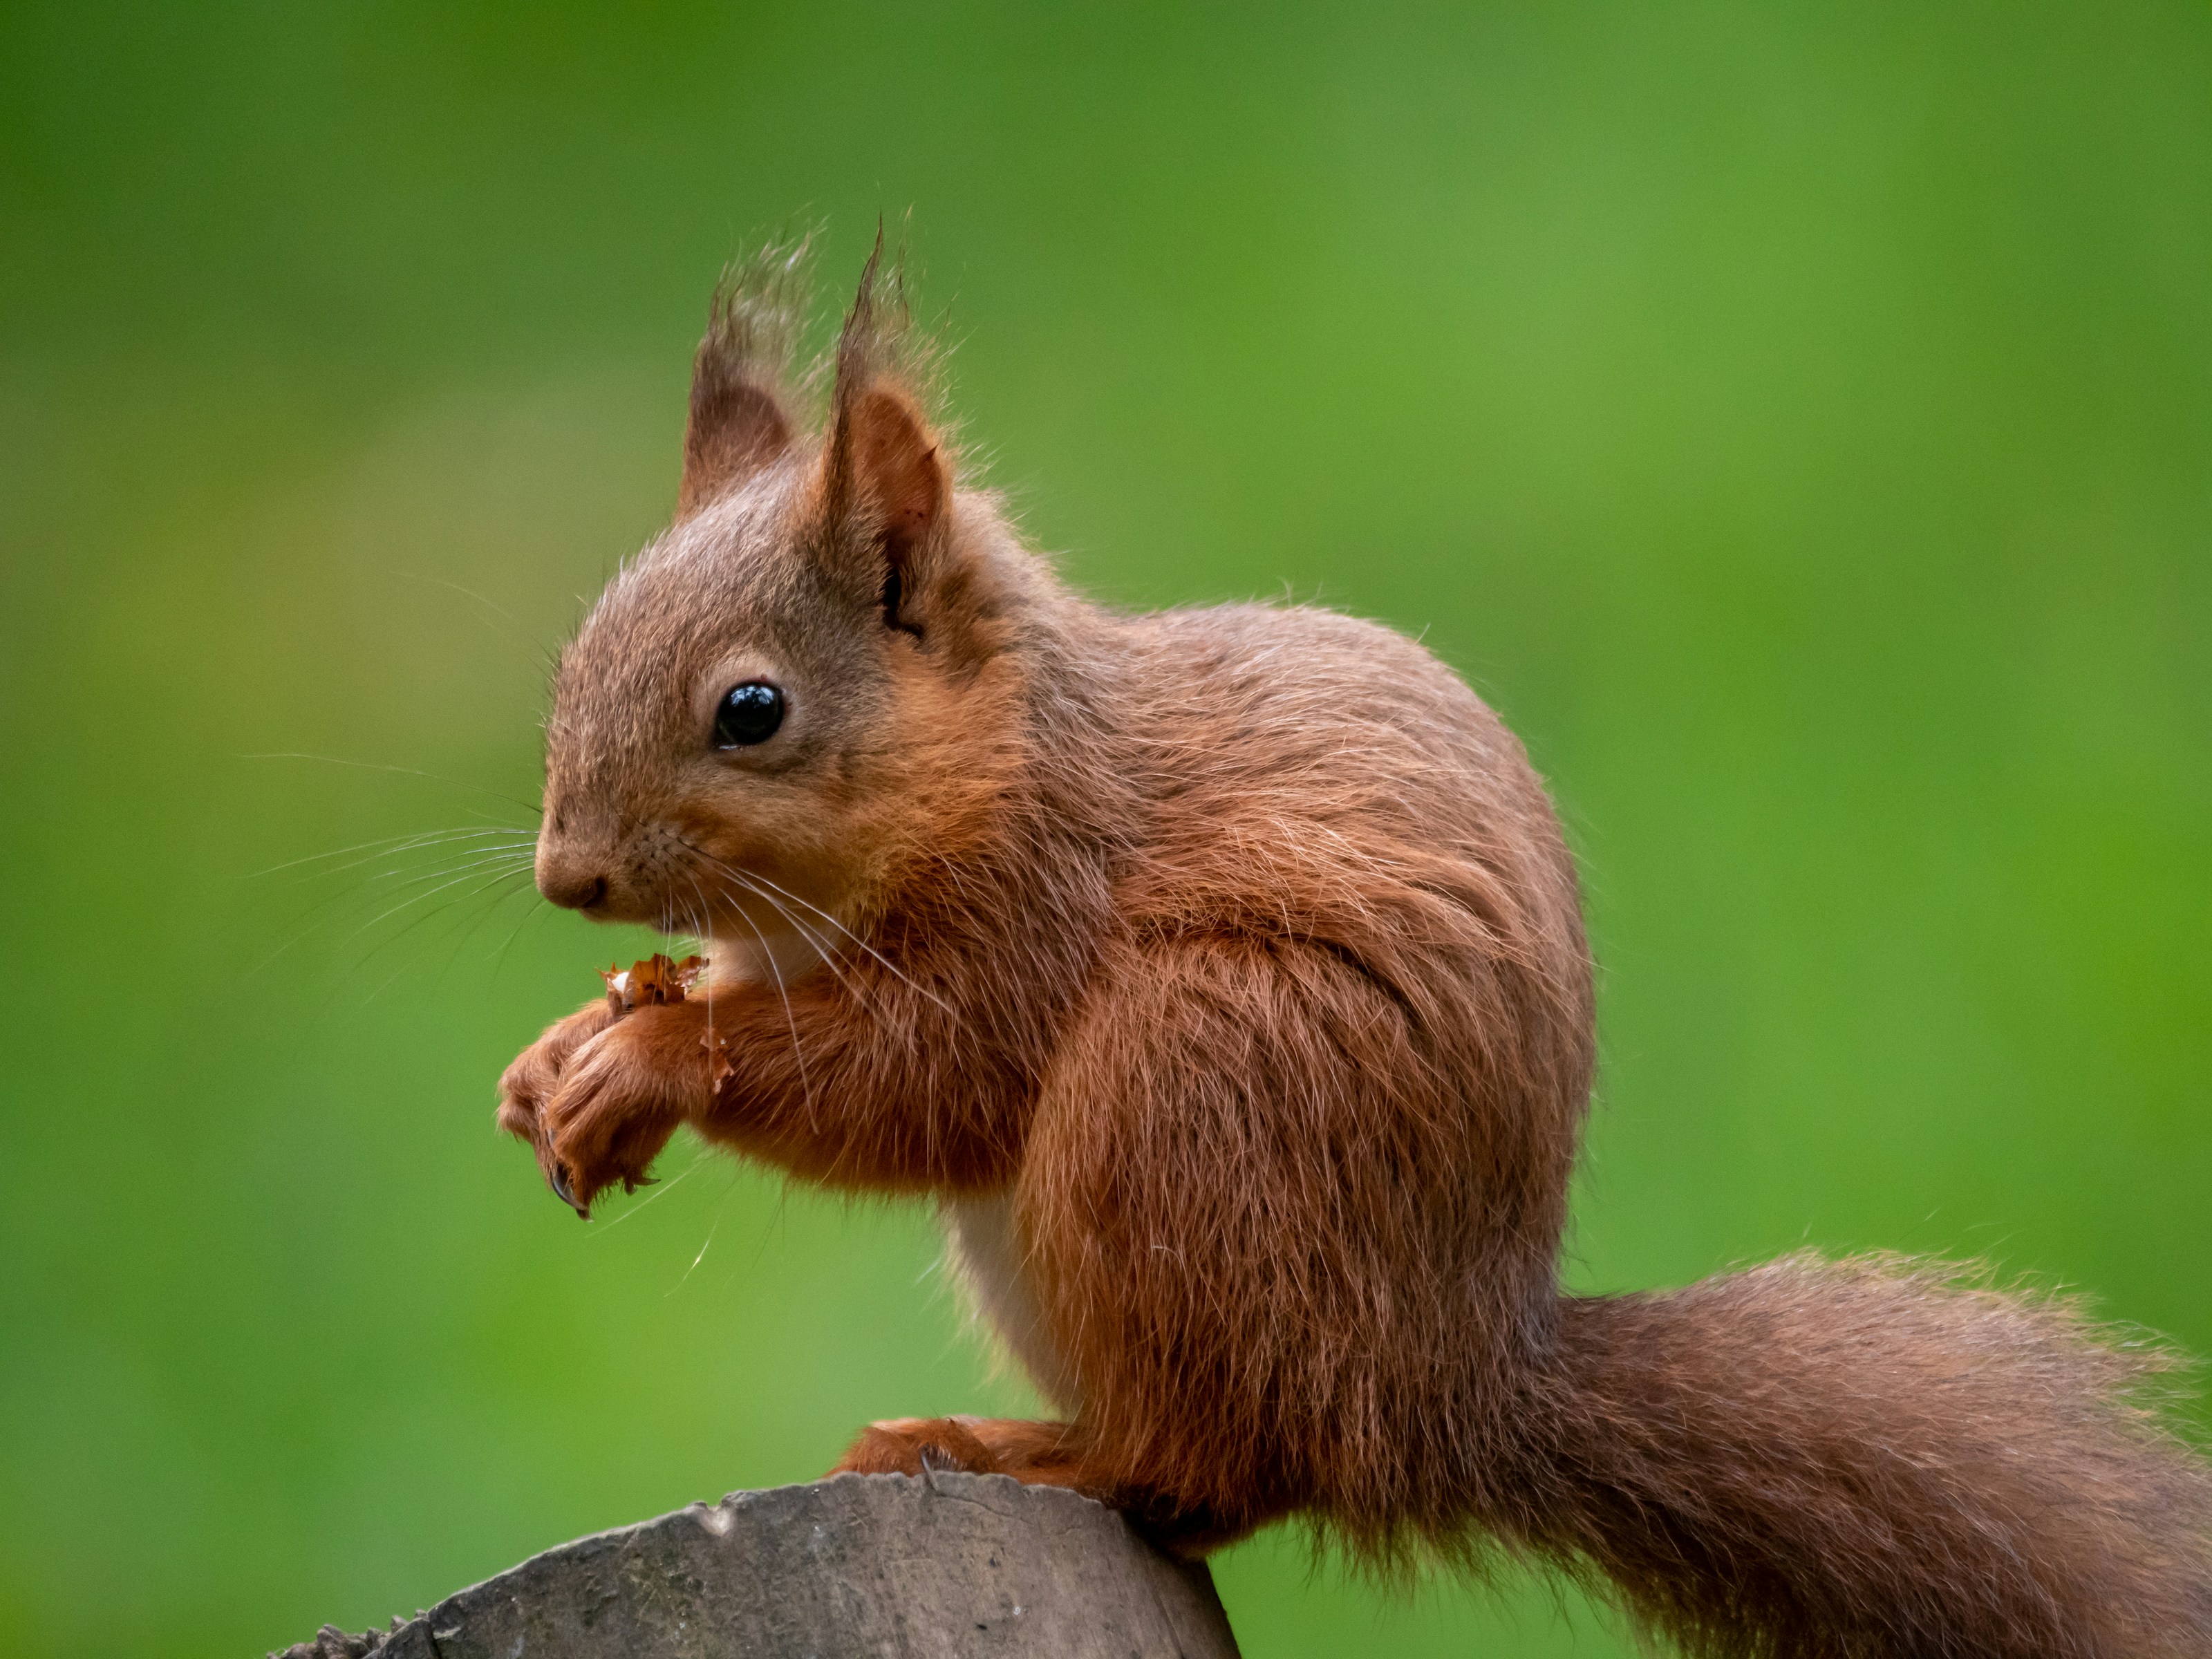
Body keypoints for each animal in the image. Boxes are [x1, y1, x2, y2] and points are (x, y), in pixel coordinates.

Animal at [495, 240, 2212, 1658]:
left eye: (753, 710)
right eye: (576, 653)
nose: (565, 875)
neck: (1001, 758)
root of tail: (1443, 1396)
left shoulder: (1042, 904)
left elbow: (915, 1081)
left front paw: (650, 1061)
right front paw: (561, 1057)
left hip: (1192, 1089)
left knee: (1208, 1467)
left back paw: (1012, 1450)